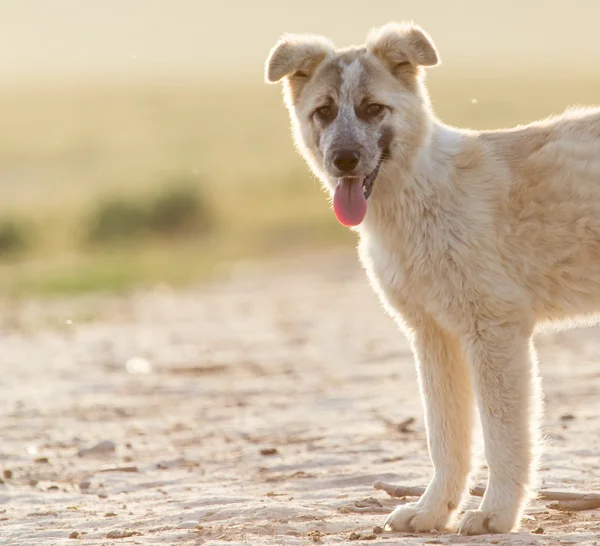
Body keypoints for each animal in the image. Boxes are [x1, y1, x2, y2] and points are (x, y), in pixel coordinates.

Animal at [264, 22, 600, 536]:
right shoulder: (433, 335)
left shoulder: (494, 329)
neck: (419, 196)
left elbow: (503, 435)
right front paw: (432, 511)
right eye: (323, 111)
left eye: (373, 108)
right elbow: (445, 439)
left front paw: (496, 514)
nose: (344, 159)